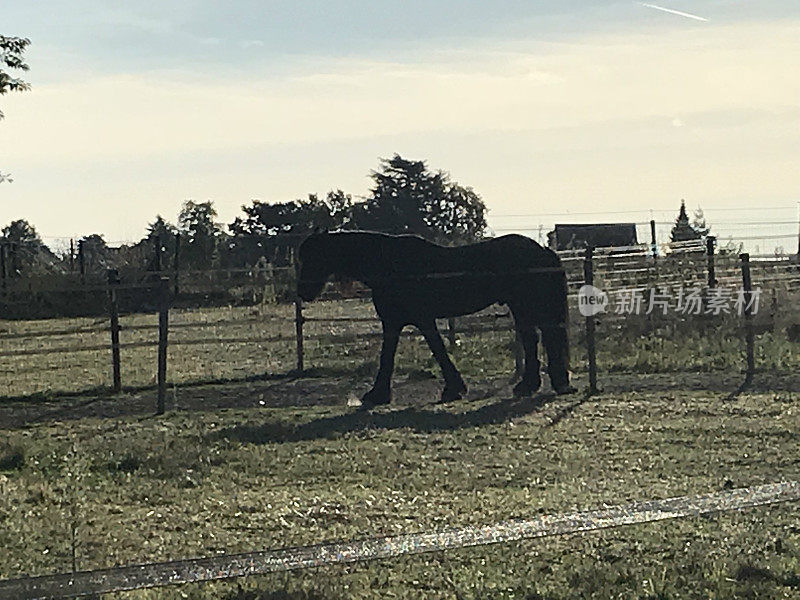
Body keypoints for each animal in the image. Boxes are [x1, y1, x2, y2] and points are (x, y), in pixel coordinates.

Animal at [296, 230, 576, 408]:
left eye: (313, 257)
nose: (303, 292)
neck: (388, 264)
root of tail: (542, 250)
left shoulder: (421, 319)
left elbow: (436, 350)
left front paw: (453, 389)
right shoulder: (394, 322)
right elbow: (390, 356)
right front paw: (379, 394)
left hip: (527, 305)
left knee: (544, 337)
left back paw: (550, 382)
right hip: (522, 307)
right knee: (534, 339)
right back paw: (532, 384)